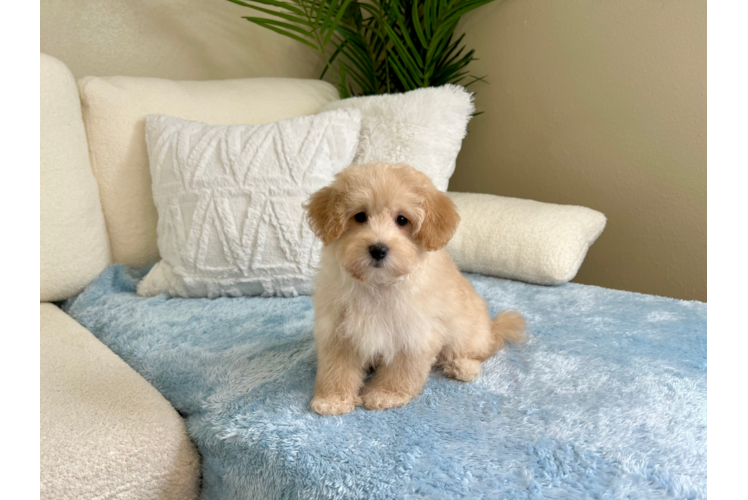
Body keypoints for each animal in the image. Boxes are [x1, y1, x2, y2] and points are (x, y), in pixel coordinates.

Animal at [304, 163, 524, 414]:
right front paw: (332, 398)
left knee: (478, 352)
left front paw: (386, 394)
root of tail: (493, 328)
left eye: (402, 220)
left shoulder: (414, 332)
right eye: (359, 216)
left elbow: (401, 369)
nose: (378, 249)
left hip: (468, 332)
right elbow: (337, 367)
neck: (378, 284)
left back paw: (462, 366)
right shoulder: (338, 330)